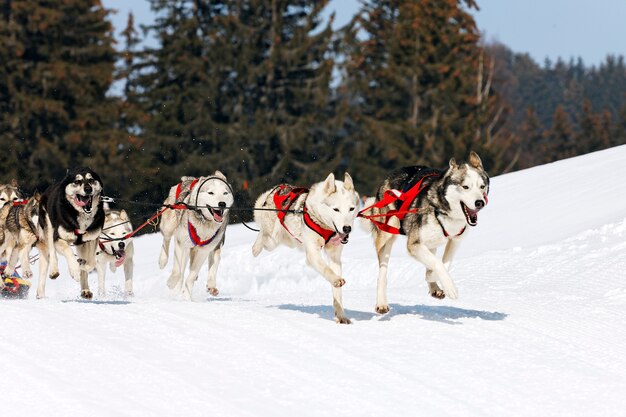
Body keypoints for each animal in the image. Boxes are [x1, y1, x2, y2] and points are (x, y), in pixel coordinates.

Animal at [36, 167, 104, 300]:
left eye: (91, 180)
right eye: (77, 182)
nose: (88, 189)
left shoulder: (92, 239)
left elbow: (91, 263)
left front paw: (81, 266)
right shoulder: (59, 239)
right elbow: (68, 251)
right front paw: (74, 271)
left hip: (82, 245)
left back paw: (85, 289)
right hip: (49, 228)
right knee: (52, 252)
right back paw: (54, 270)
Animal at [157, 171, 233, 300]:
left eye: (225, 193)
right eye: (211, 193)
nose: (222, 204)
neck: (204, 222)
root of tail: (188, 179)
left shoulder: (204, 250)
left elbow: (191, 276)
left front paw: (187, 297)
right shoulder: (180, 243)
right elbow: (177, 271)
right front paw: (171, 283)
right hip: (169, 226)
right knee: (166, 240)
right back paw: (163, 261)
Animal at [251, 171, 358, 324]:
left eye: (351, 209)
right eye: (336, 209)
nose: (347, 228)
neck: (323, 224)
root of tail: (275, 189)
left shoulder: (335, 257)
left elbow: (337, 292)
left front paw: (341, 315)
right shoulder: (312, 254)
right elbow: (325, 269)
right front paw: (336, 280)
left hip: (287, 239)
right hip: (272, 239)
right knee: (262, 234)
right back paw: (255, 248)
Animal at [360, 150, 488, 312]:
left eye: (482, 186)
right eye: (465, 187)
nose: (480, 203)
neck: (442, 210)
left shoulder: (454, 241)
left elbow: (443, 264)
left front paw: (432, 277)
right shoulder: (414, 245)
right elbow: (438, 264)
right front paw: (450, 287)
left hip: (430, 242)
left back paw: (434, 287)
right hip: (387, 235)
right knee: (382, 273)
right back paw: (381, 303)